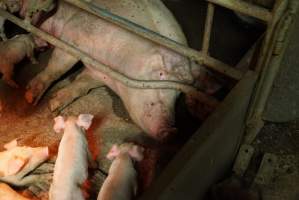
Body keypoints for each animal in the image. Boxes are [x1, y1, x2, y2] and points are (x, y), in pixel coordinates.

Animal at [25, 0, 199, 140]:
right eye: (160, 75)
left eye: (178, 95)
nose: (171, 132)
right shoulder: (73, 35)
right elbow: (58, 67)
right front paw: (31, 98)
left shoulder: (100, 73)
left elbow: (82, 85)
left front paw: (54, 105)